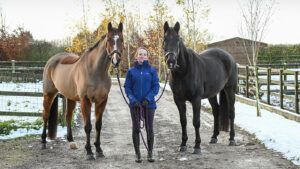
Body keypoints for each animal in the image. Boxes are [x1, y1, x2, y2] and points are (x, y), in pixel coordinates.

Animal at [41, 22, 123, 160]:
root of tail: (52, 60)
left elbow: (98, 125)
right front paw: (89, 151)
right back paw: (43, 142)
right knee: (45, 115)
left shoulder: (102, 101)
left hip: (70, 97)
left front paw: (99, 149)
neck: (95, 70)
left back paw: (71, 141)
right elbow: (88, 126)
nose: (116, 61)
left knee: (68, 116)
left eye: (121, 39)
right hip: (49, 94)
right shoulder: (86, 100)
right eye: (109, 39)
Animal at [163, 21, 238, 154]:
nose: (171, 61)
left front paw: (197, 146)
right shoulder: (178, 100)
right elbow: (183, 121)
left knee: (231, 112)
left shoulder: (196, 99)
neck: (183, 71)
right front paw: (183, 144)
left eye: (178, 40)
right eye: (164, 39)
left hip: (230, 90)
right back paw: (214, 137)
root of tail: (229, 57)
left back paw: (232, 139)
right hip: (212, 94)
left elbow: (196, 122)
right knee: (216, 110)